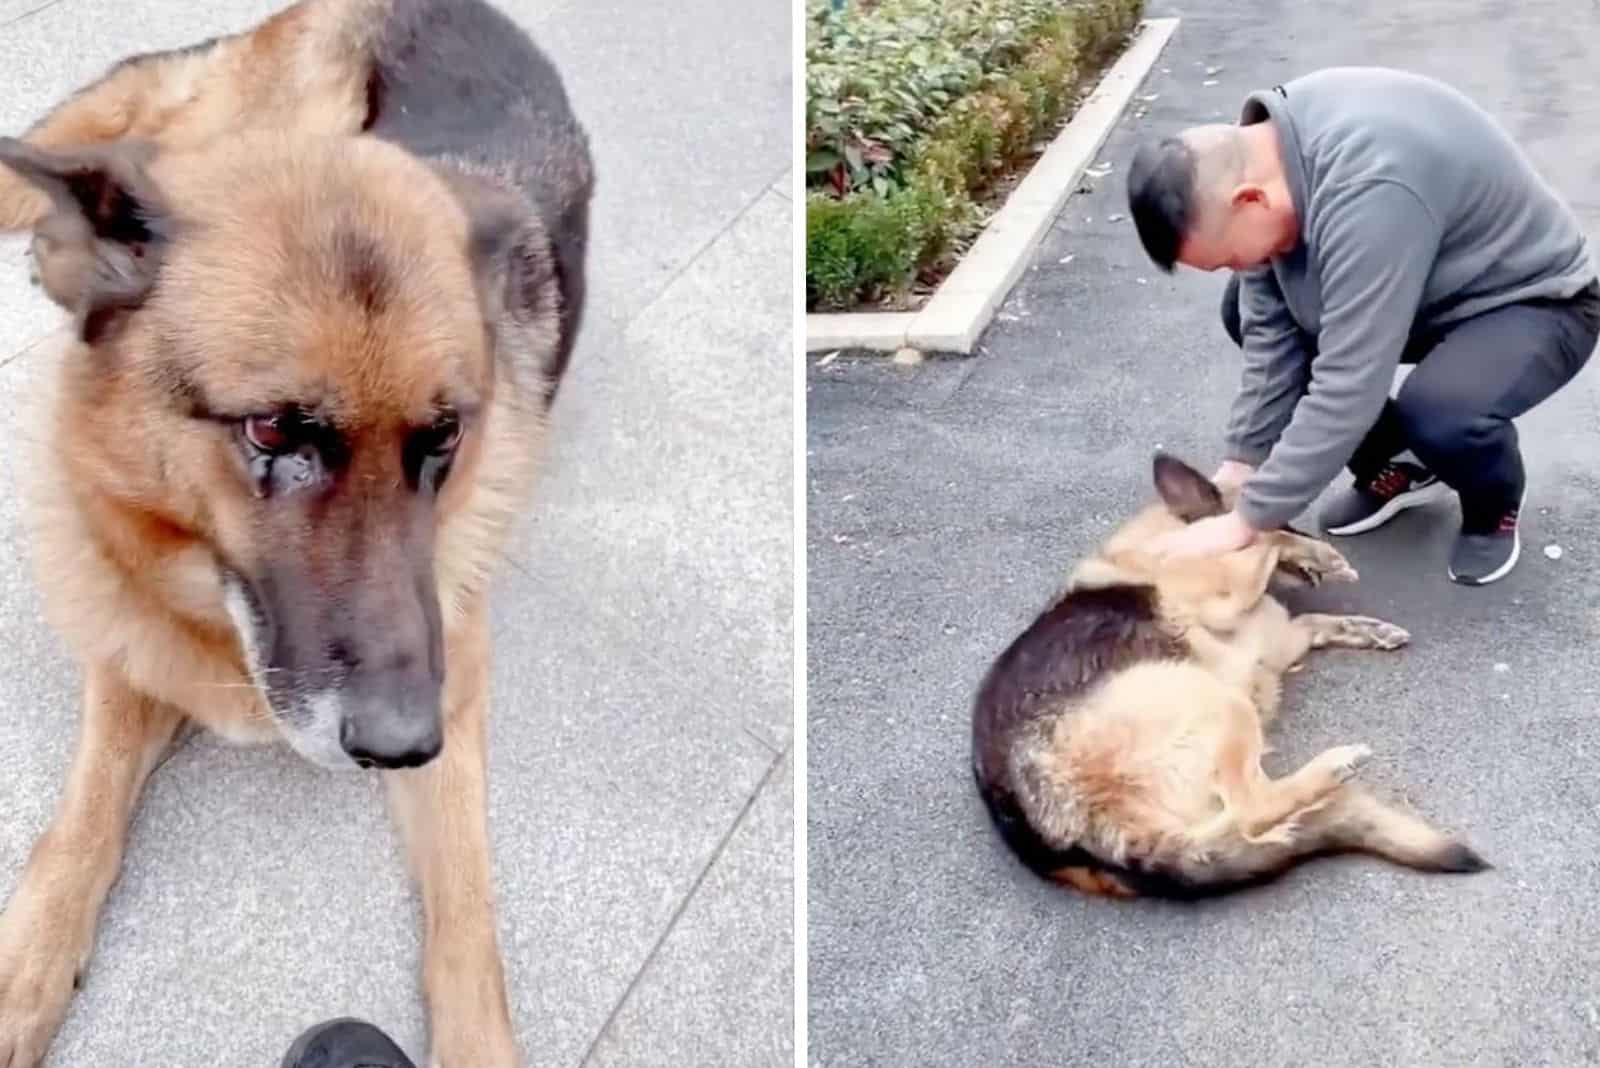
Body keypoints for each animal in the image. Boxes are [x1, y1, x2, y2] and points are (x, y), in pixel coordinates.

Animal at [0, 4, 595, 1061]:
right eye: (274, 430)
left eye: (444, 437)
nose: (403, 741)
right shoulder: (131, 647)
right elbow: (83, 815)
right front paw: (27, 964)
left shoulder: (456, 691)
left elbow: (467, 906)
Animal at [966, 454, 1491, 895]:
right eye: (1286, 517)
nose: (1318, 542)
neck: (1163, 541)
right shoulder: (1228, 592)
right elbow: (1261, 541)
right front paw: (1315, 554)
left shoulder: (1279, 638)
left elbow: (1316, 620)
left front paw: (1369, 629)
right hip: (1218, 701)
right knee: (1250, 812)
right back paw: (1332, 768)